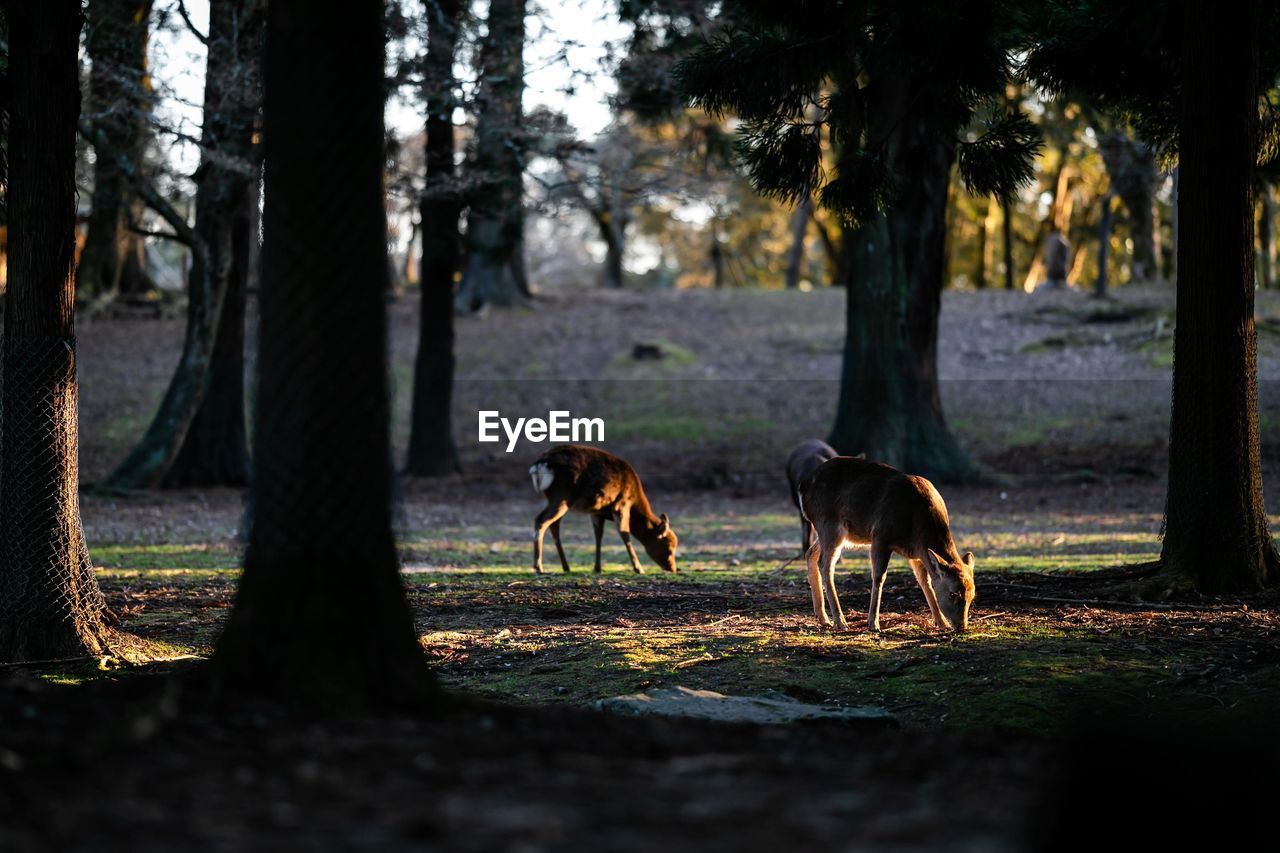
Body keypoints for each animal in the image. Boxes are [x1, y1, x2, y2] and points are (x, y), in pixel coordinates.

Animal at [527, 440, 680, 573]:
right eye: (669, 547)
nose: (672, 568)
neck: (635, 498)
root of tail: (540, 464)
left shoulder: (596, 512)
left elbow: (598, 535)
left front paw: (597, 568)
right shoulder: (621, 504)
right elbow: (625, 533)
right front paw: (639, 568)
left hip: (558, 499)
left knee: (554, 525)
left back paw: (566, 567)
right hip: (561, 495)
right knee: (541, 520)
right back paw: (538, 567)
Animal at [793, 455, 972, 627]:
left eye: (972, 595)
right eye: (952, 593)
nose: (961, 626)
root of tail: (802, 486)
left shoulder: (917, 552)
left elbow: (925, 581)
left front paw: (942, 623)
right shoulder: (881, 535)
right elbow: (879, 577)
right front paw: (873, 623)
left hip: (830, 531)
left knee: (810, 554)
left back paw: (823, 618)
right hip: (829, 524)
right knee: (825, 564)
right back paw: (840, 620)